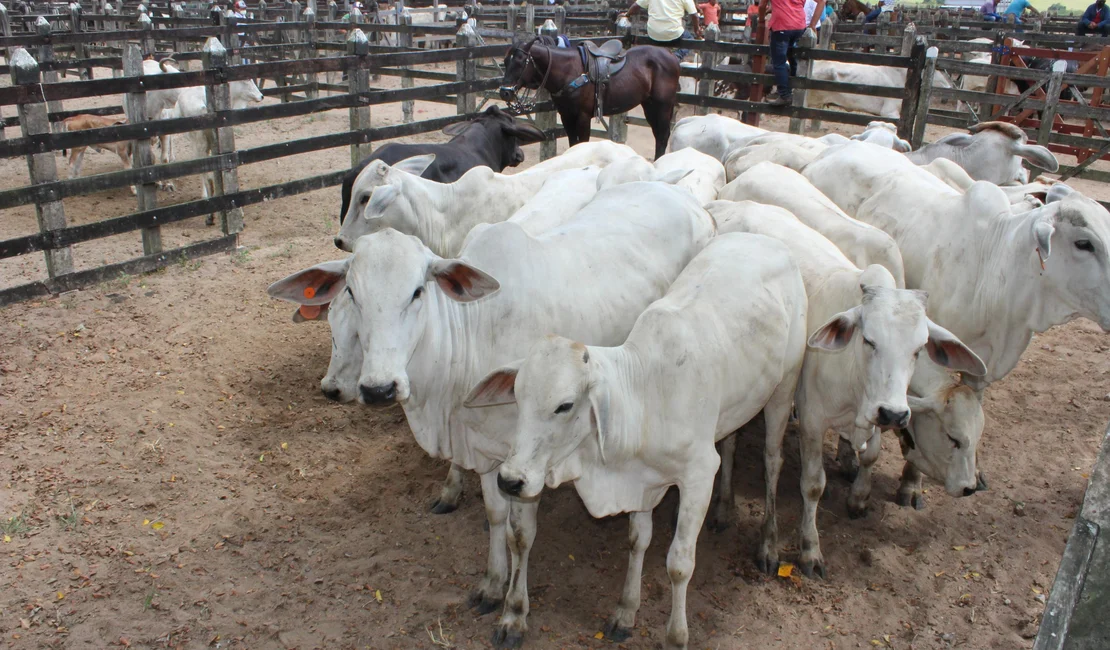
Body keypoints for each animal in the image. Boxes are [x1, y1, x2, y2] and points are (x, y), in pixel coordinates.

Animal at [273, 181, 714, 647]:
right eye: (353, 293)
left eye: (417, 291)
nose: (378, 388)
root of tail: (684, 197)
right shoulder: (486, 451)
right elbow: (495, 516)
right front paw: (491, 584)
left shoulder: (525, 463)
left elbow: (520, 535)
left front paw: (514, 613)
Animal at [461, 232, 808, 647]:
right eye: (516, 395)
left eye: (565, 405)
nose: (510, 480)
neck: (646, 394)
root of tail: (768, 240)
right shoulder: (643, 481)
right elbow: (637, 540)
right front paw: (626, 611)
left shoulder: (697, 475)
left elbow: (679, 564)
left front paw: (676, 636)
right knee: (731, 440)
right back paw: (725, 509)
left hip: (784, 387)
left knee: (773, 461)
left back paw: (769, 545)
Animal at [501, 36, 674, 160]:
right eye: (505, 61)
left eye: (520, 61)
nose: (504, 92)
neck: (570, 71)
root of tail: (670, 56)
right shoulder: (566, 116)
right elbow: (573, 144)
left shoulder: (583, 117)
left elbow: (582, 143)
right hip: (649, 106)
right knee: (658, 135)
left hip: (663, 106)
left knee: (663, 136)